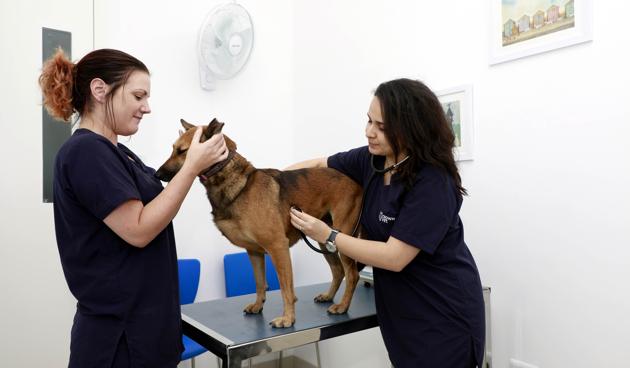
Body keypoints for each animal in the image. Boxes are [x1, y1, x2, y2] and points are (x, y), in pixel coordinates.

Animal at [156, 118, 362, 328]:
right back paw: (329, 296)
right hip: (324, 239)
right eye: (173, 149)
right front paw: (258, 305)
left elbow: (286, 288)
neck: (237, 184)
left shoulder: (278, 247)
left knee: (352, 274)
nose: (157, 174)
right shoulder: (254, 252)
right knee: (338, 270)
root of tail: (355, 181)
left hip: (341, 237)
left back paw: (342, 306)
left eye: (182, 151)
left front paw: (288, 318)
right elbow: (260, 282)